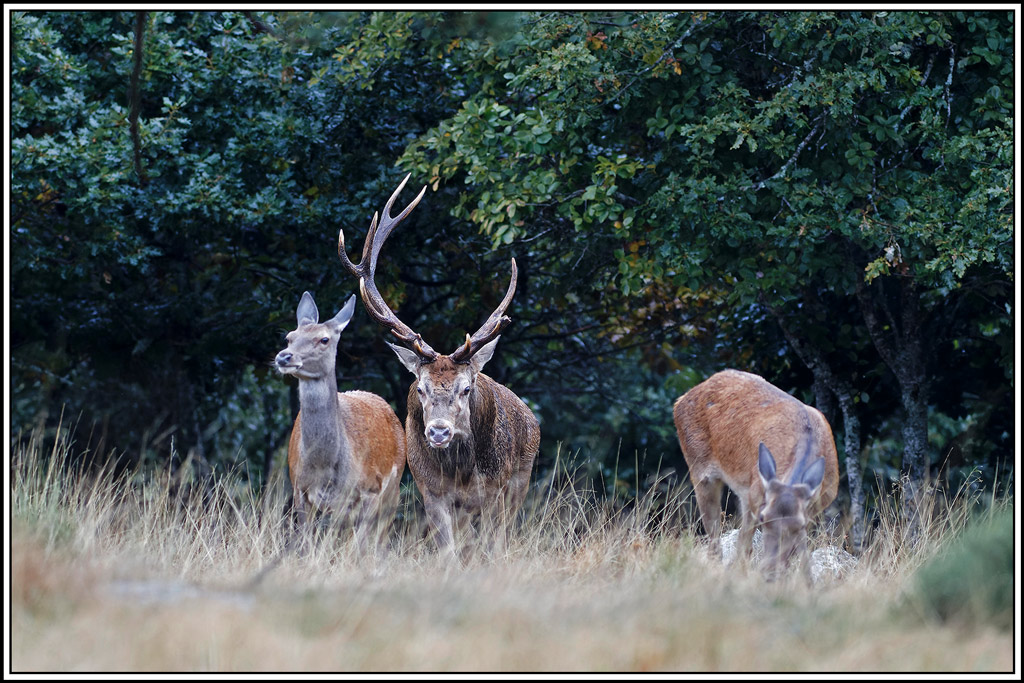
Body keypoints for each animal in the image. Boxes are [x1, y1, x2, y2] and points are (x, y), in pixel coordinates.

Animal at [274, 290, 406, 553]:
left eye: (324, 339)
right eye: (289, 337)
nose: (284, 357)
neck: (325, 467)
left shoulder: (370, 489)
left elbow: (359, 548)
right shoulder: (299, 487)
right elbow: (306, 542)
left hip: (393, 490)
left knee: (380, 541)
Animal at [338, 174, 541, 557]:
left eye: (466, 388)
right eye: (420, 388)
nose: (438, 432)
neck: (461, 474)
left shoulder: (497, 490)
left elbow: (493, 547)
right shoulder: (430, 491)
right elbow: (448, 551)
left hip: (521, 479)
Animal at [673, 369, 839, 583]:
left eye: (799, 524)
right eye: (764, 518)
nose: (767, 573)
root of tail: (680, 400)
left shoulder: (813, 510)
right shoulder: (756, 497)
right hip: (700, 470)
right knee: (717, 539)